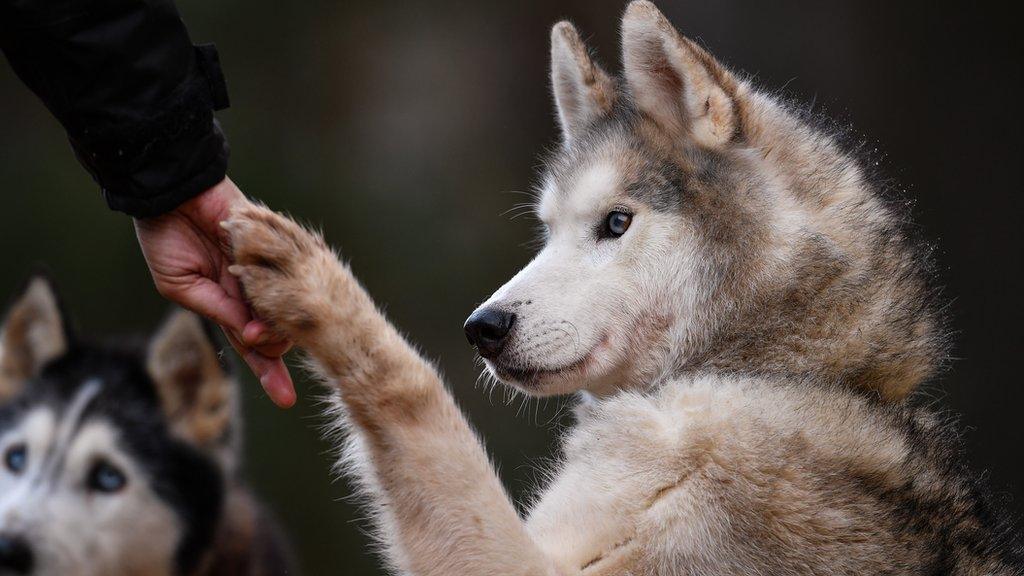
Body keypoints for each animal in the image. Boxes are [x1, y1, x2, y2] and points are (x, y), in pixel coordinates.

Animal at [220, 2, 1019, 569]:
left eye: (614, 223)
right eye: (547, 230)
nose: (482, 329)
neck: (777, 374)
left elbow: (414, 391)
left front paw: (316, 285)